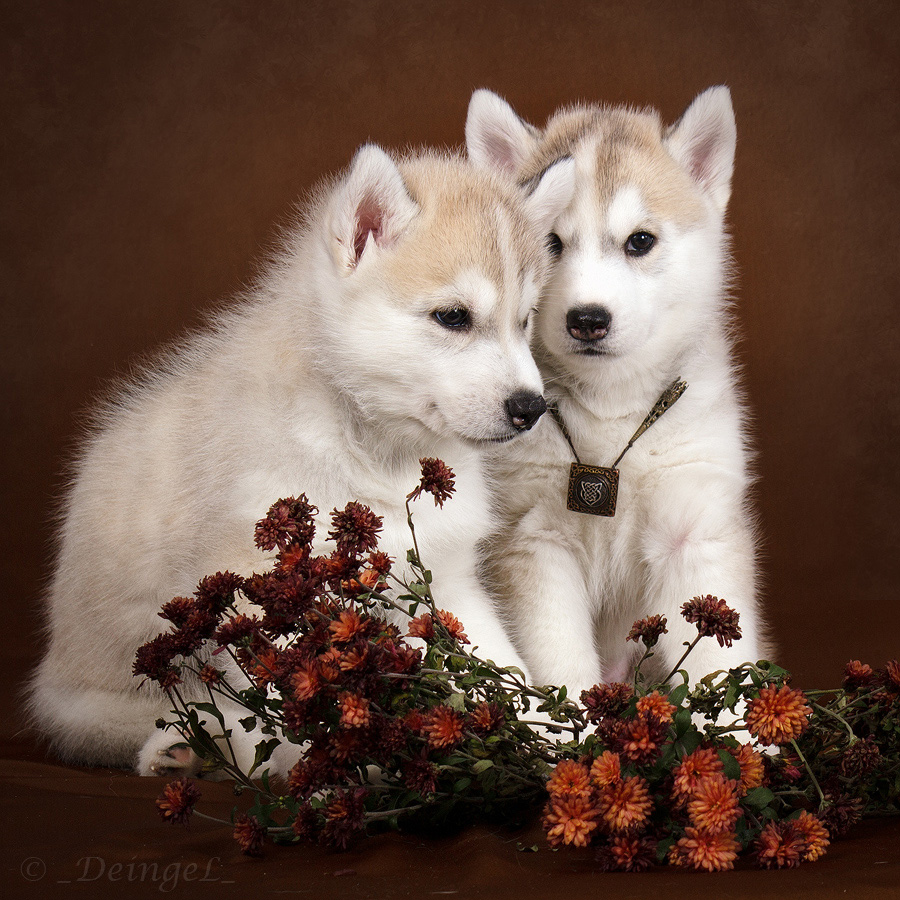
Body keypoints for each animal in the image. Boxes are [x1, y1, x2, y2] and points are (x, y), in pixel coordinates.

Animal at [31, 146, 576, 772]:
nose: (531, 408)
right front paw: (343, 765)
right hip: (100, 703)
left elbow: (497, 661)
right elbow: (300, 700)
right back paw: (187, 750)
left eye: (524, 320)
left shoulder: (445, 575)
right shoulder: (265, 593)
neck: (375, 451)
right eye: (453, 317)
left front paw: (551, 743)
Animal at [464, 88, 768, 700]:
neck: (610, 414)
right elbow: (562, 667)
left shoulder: (696, 530)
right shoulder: (534, 543)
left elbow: (722, 664)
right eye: (550, 244)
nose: (587, 319)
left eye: (640, 241)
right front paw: (566, 726)